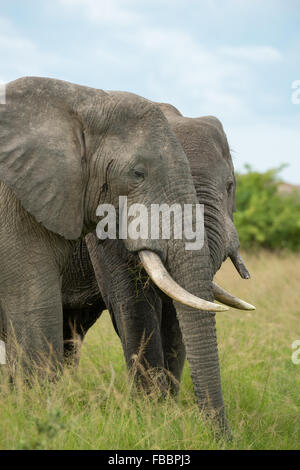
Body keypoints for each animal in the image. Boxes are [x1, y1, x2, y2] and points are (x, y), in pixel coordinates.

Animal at [62, 101, 254, 436]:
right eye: (142, 181)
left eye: (230, 186)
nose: (227, 437)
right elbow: (134, 305)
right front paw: (151, 416)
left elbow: (180, 312)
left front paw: (167, 413)